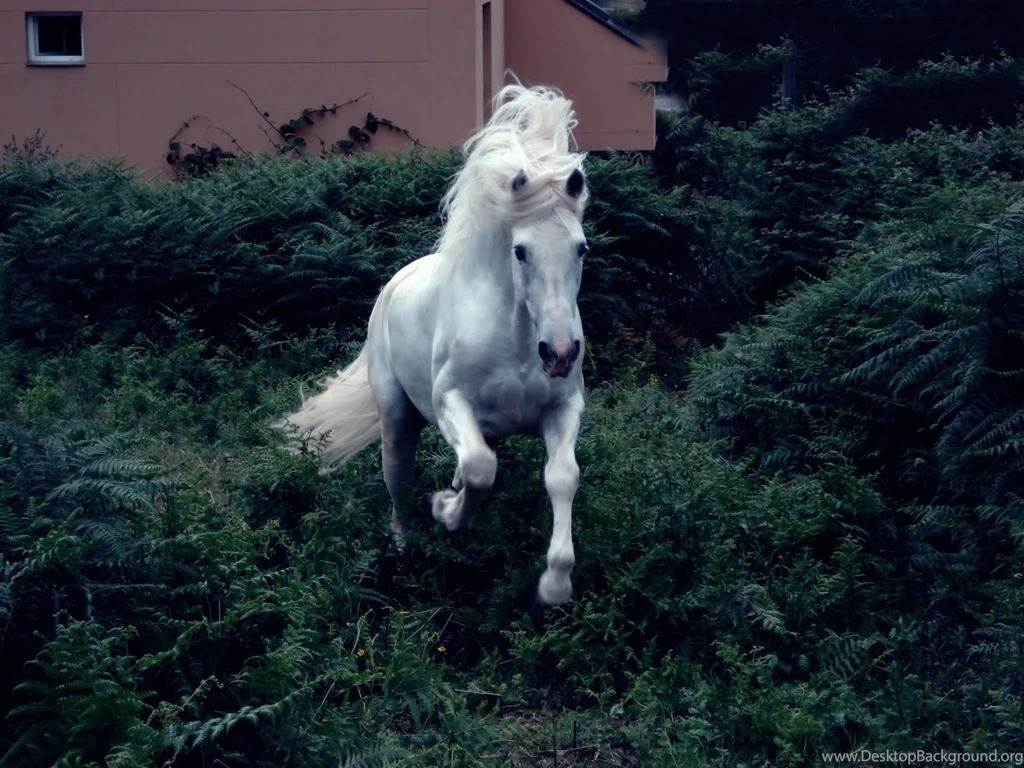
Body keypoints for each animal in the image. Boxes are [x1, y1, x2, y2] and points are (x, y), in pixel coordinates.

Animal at [274, 84, 589, 607]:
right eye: (520, 251)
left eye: (581, 248)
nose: (560, 354)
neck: (517, 342)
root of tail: (394, 284)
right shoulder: (449, 404)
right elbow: (480, 469)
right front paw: (444, 510)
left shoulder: (563, 409)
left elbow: (562, 477)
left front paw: (555, 584)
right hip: (398, 416)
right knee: (399, 480)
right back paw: (406, 548)